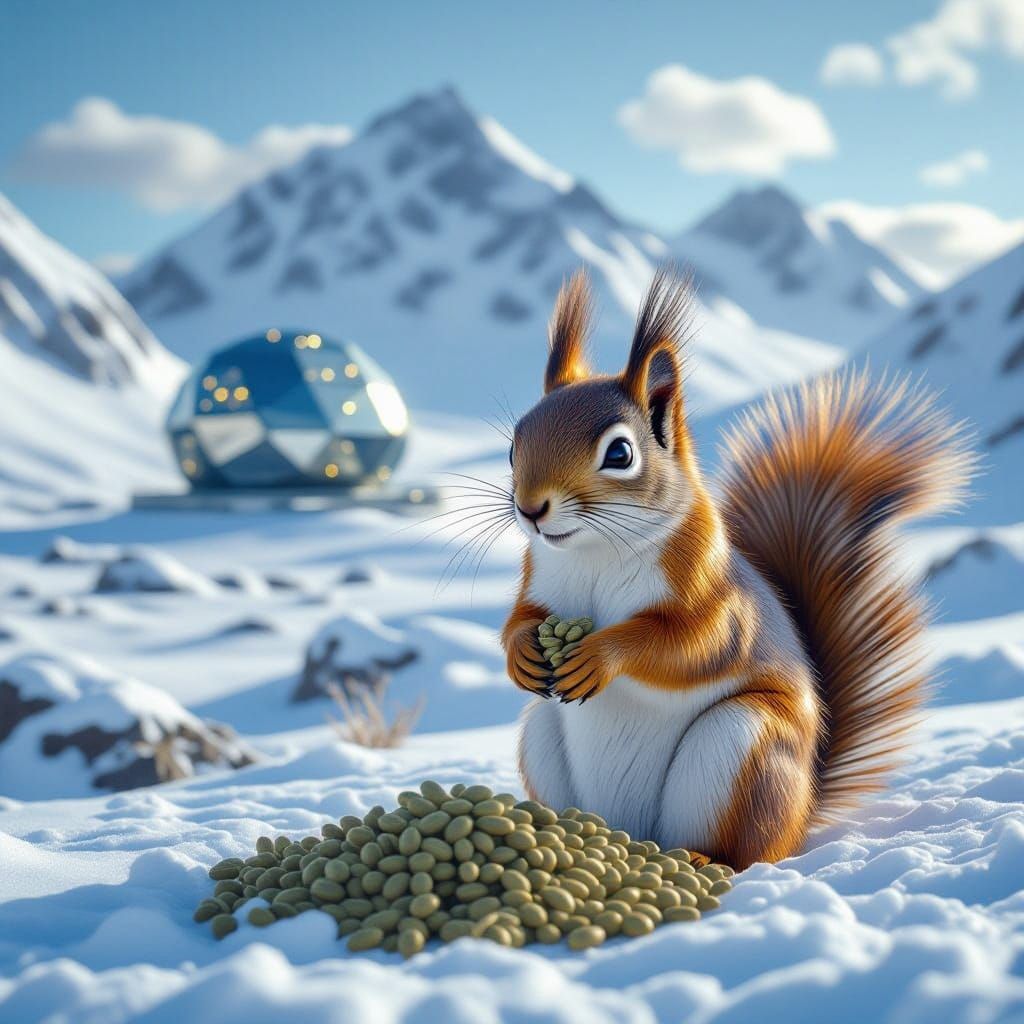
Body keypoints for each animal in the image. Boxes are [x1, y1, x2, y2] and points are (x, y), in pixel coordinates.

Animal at [502, 268, 973, 870]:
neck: (593, 551)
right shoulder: (538, 579)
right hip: (542, 738)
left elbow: (692, 643)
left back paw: (704, 859)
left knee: (745, 851)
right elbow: (521, 618)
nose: (531, 509)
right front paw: (522, 652)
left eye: (620, 454)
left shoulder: (713, 590)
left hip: (742, 748)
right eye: (514, 445)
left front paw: (601, 654)